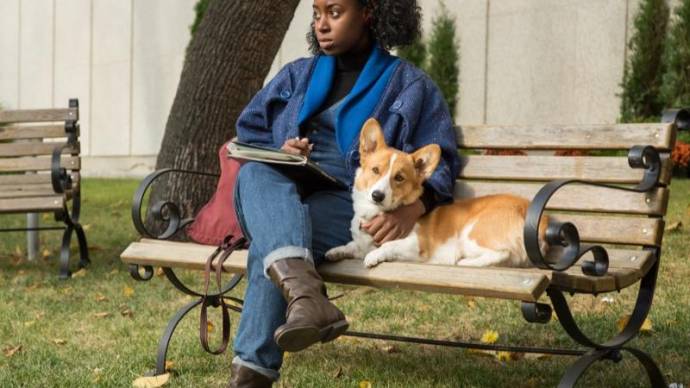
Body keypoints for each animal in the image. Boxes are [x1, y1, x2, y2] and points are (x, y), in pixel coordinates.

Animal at [326, 118, 544, 268]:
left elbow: (387, 246)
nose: (377, 196)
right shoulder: (360, 245)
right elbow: (351, 246)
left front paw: (373, 256)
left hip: (470, 234)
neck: (374, 213)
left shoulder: (416, 245)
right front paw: (335, 251)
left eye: (399, 177)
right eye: (375, 170)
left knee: (503, 252)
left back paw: (465, 262)